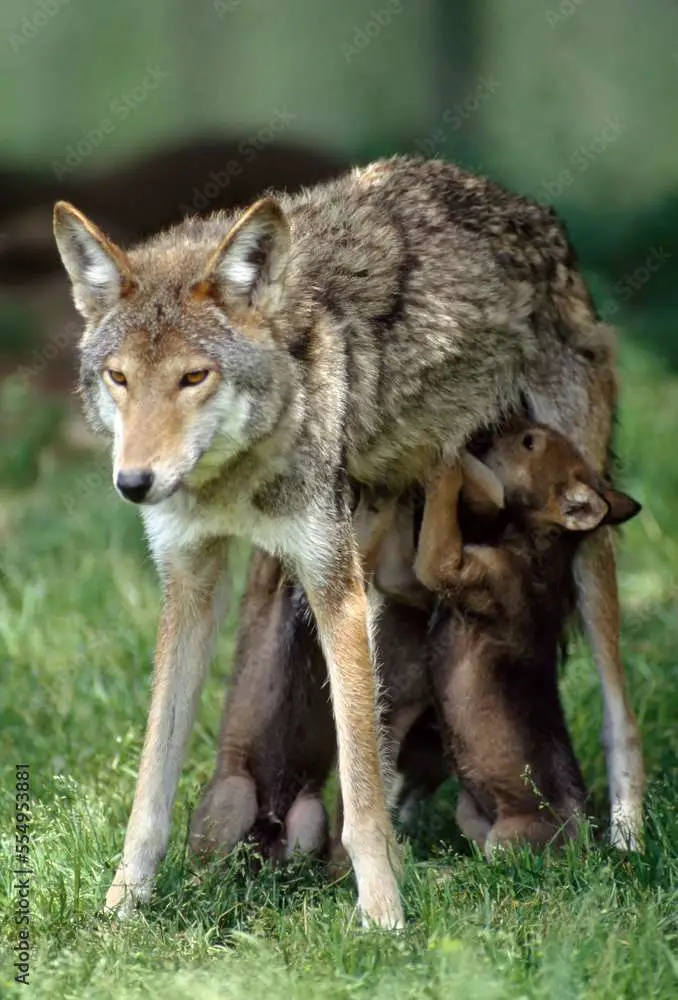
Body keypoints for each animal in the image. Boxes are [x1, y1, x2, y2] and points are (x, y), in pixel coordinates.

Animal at [53, 156, 644, 928]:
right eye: (119, 377)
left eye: (193, 377)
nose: (134, 482)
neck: (236, 477)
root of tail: (528, 208)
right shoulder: (189, 587)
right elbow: (153, 783)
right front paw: (122, 907)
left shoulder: (337, 587)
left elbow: (358, 794)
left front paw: (385, 918)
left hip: (592, 551)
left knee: (619, 713)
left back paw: (628, 843)